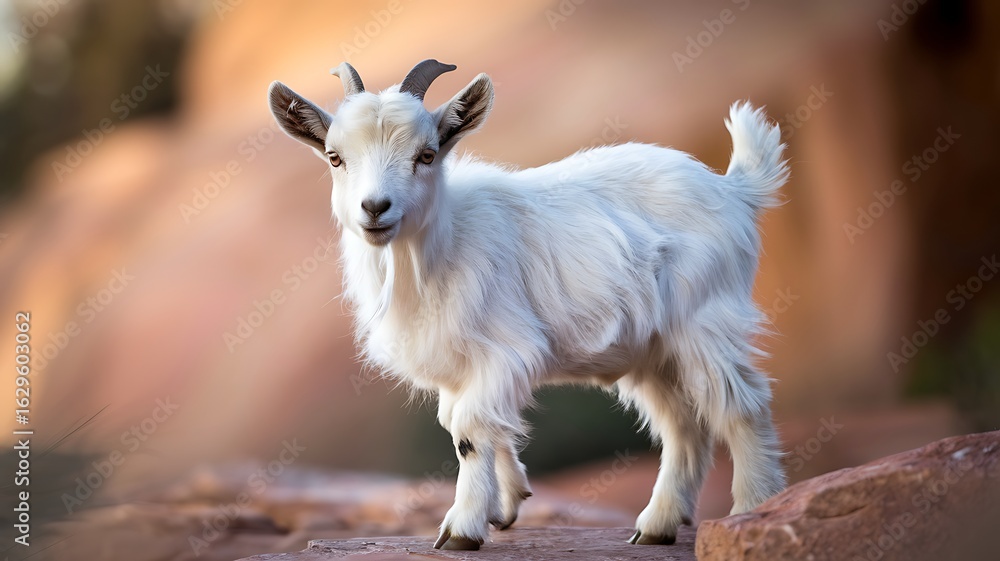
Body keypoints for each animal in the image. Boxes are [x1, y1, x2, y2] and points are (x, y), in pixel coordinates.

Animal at [268, 59, 788, 550]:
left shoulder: (506, 350)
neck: (440, 250)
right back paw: (656, 526)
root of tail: (734, 190)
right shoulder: (461, 368)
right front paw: (506, 504)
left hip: (705, 321)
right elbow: (472, 424)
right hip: (653, 350)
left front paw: (462, 530)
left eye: (426, 155)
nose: (375, 208)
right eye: (335, 158)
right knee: (683, 425)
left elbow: (469, 432)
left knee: (741, 404)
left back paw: (752, 509)